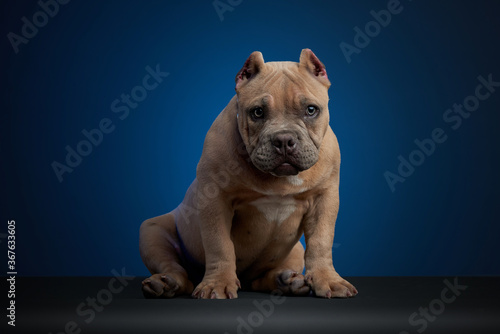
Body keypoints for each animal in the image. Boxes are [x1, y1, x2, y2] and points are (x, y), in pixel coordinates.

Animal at [139, 48, 358, 298]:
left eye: (311, 110)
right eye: (257, 112)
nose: (284, 139)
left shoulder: (324, 199)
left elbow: (321, 241)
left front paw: (328, 280)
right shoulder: (215, 199)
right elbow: (219, 244)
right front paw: (217, 284)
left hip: (293, 252)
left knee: (261, 279)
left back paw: (287, 282)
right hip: (151, 232)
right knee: (177, 271)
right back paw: (165, 284)